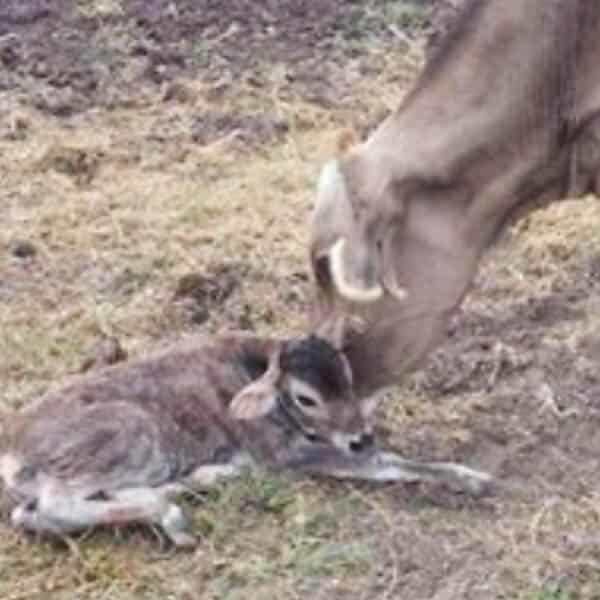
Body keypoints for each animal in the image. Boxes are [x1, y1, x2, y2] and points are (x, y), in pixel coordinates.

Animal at [0, 326, 490, 548]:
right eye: (306, 398)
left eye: (348, 379)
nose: (360, 437)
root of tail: (12, 441)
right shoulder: (281, 453)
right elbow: (386, 464)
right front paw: (474, 478)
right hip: (125, 432)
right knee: (51, 506)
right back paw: (175, 519)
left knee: (33, 513)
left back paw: (197, 482)